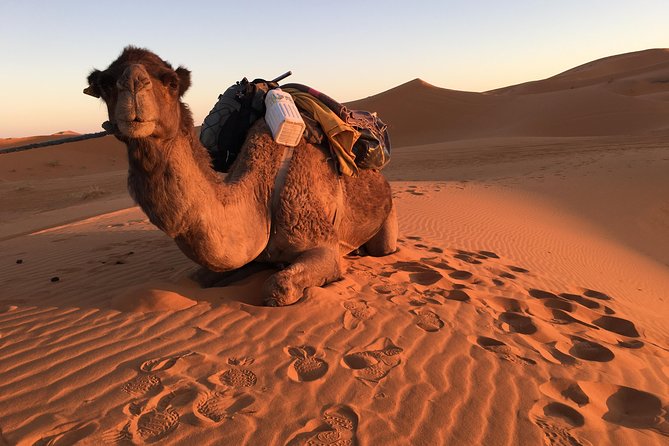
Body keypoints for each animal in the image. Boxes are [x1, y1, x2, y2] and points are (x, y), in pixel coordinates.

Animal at [84, 46, 397, 306]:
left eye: (171, 81)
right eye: (106, 83)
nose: (133, 84)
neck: (263, 193)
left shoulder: (323, 245)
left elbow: (278, 288)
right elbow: (195, 278)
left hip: (387, 219)